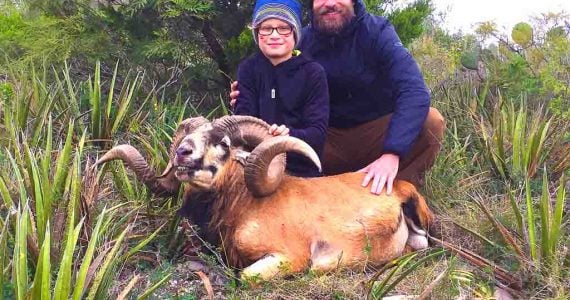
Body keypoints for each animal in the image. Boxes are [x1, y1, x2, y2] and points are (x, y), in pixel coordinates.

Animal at [94, 115, 430, 282]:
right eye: (185, 137)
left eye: (224, 144)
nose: (182, 153)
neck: (244, 208)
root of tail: (398, 188)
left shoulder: (289, 258)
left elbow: (245, 278)